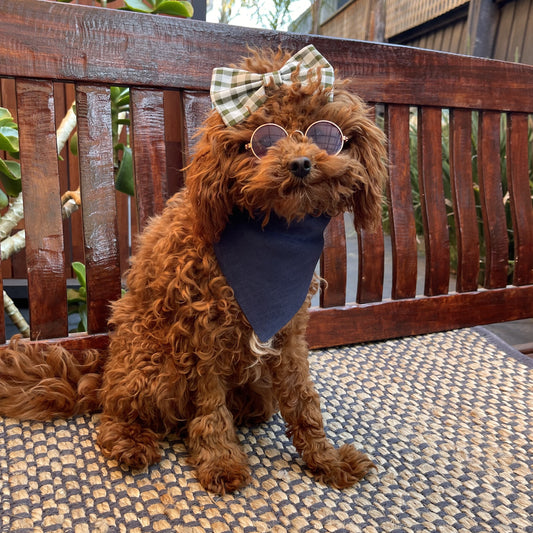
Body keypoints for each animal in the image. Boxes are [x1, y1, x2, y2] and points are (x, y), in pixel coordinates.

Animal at [0, 47, 384, 492]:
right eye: (263, 138)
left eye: (325, 133)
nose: (301, 163)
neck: (270, 230)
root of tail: (103, 373)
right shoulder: (200, 337)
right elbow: (210, 409)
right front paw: (220, 462)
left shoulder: (288, 336)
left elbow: (304, 401)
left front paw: (326, 460)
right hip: (152, 363)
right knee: (117, 413)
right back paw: (131, 441)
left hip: (251, 380)